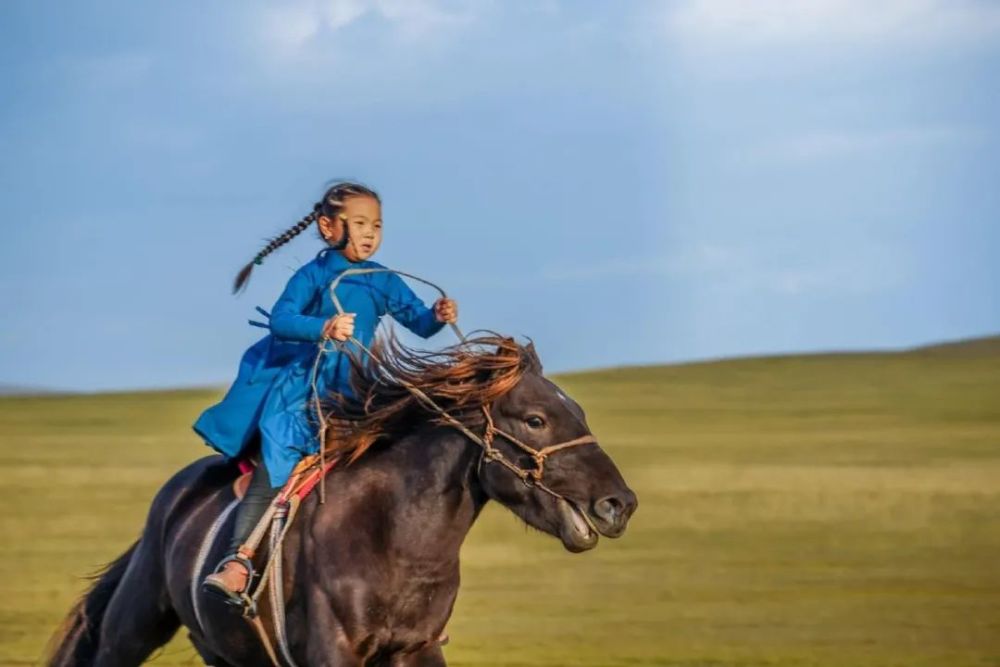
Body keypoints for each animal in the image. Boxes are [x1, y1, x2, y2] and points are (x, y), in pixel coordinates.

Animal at [47, 336, 636, 667]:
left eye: (577, 410)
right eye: (535, 420)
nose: (619, 503)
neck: (394, 542)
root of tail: (171, 501)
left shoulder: (416, 650)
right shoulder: (334, 654)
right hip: (131, 629)